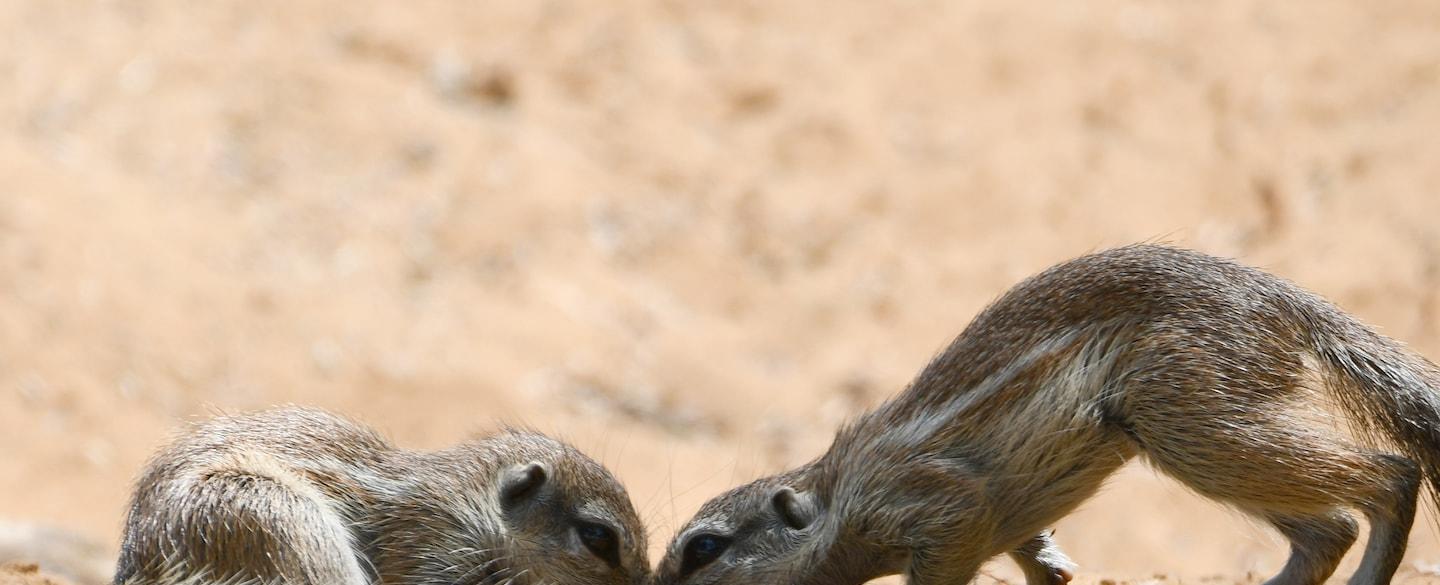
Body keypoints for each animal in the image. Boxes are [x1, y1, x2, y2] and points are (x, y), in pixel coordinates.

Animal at [653, 244, 1440, 585]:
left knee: (1388, 478)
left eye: (704, 549)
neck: (839, 497)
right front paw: (1057, 571)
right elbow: (1038, 556)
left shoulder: (937, 503)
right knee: (1328, 529)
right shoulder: (1004, 520)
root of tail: (1293, 307)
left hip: (1191, 418)